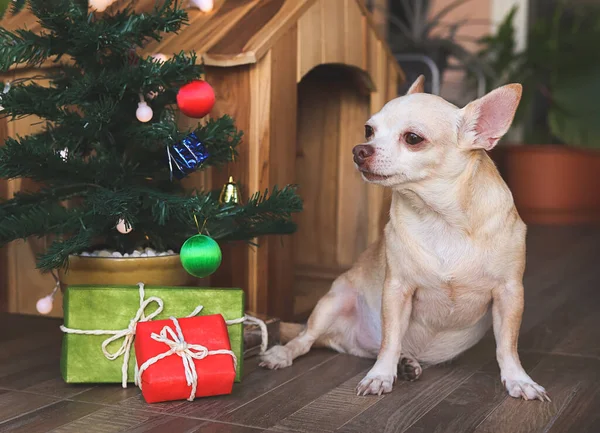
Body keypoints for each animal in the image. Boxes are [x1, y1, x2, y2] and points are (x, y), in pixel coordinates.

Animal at [260, 75, 552, 402]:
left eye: (413, 138)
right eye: (369, 130)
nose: (360, 150)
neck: (441, 218)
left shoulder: (509, 293)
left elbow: (507, 346)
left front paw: (519, 380)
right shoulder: (397, 290)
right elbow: (390, 340)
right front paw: (380, 376)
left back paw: (407, 363)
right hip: (333, 301)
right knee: (307, 339)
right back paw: (283, 354)